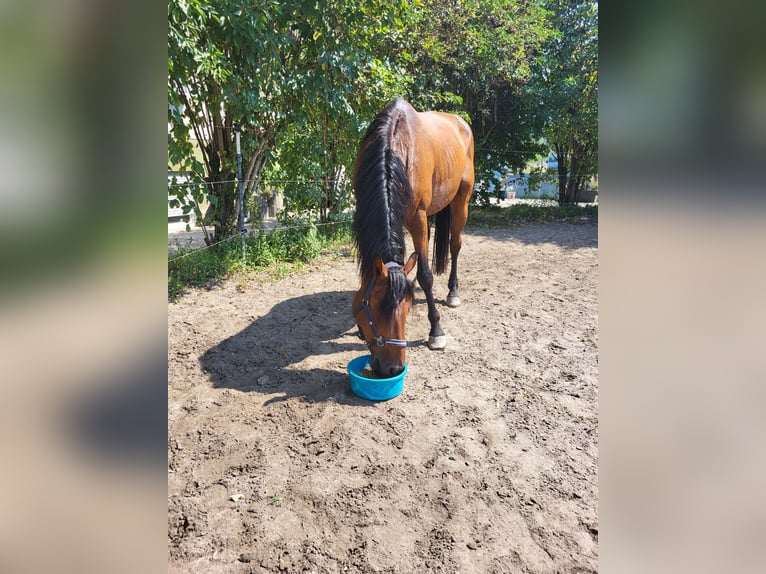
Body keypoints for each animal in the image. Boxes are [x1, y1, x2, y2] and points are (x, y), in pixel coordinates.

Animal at [352, 99, 474, 378]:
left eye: (407, 310)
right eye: (374, 308)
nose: (393, 368)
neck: (395, 151)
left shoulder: (418, 219)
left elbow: (426, 275)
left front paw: (436, 331)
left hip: (460, 202)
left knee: (455, 246)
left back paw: (453, 292)